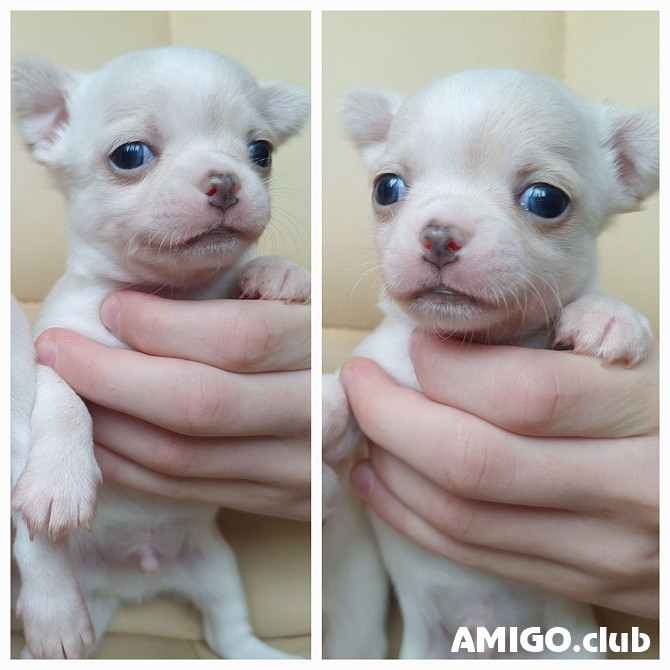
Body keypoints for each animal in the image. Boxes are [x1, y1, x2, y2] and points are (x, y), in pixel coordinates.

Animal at [11, 48, 310, 660]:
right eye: (130, 155)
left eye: (261, 152)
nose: (225, 181)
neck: (169, 292)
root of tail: (130, 582)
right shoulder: (52, 352)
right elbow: (65, 402)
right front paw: (59, 483)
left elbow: (246, 270)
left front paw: (279, 272)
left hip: (216, 568)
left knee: (229, 633)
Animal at [326, 69, 660, 660]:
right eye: (386, 188)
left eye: (546, 200)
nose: (439, 233)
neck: (473, 341)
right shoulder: (373, 374)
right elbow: (347, 388)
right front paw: (319, 405)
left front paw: (608, 316)